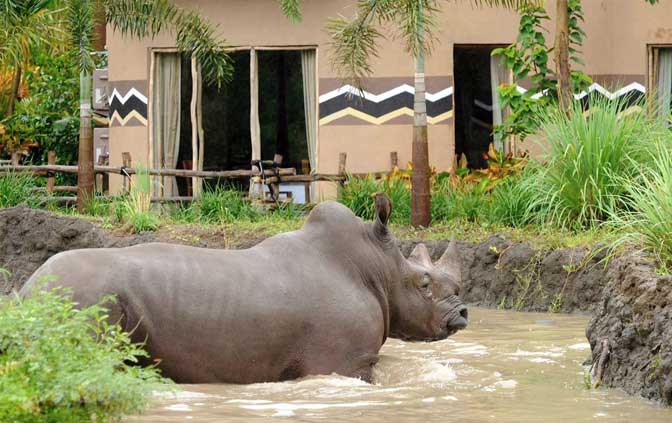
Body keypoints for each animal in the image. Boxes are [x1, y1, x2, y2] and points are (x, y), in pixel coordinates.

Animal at [20, 193, 467, 383]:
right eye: (424, 284)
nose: (462, 315)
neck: (377, 267)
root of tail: (27, 289)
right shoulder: (344, 361)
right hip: (83, 300)